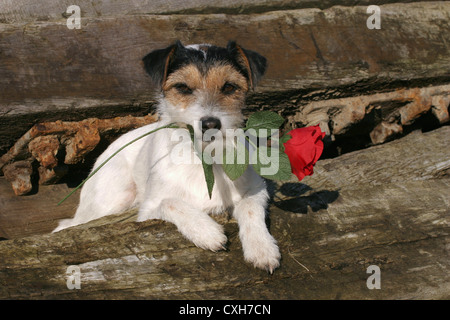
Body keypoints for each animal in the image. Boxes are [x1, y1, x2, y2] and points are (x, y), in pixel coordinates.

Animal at [51, 40, 278, 272]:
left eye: (229, 87)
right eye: (183, 87)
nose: (210, 124)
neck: (203, 158)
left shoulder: (256, 188)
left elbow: (250, 208)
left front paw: (261, 248)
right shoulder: (147, 211)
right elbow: (170, 202)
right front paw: (205, 231)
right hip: (113, 200)